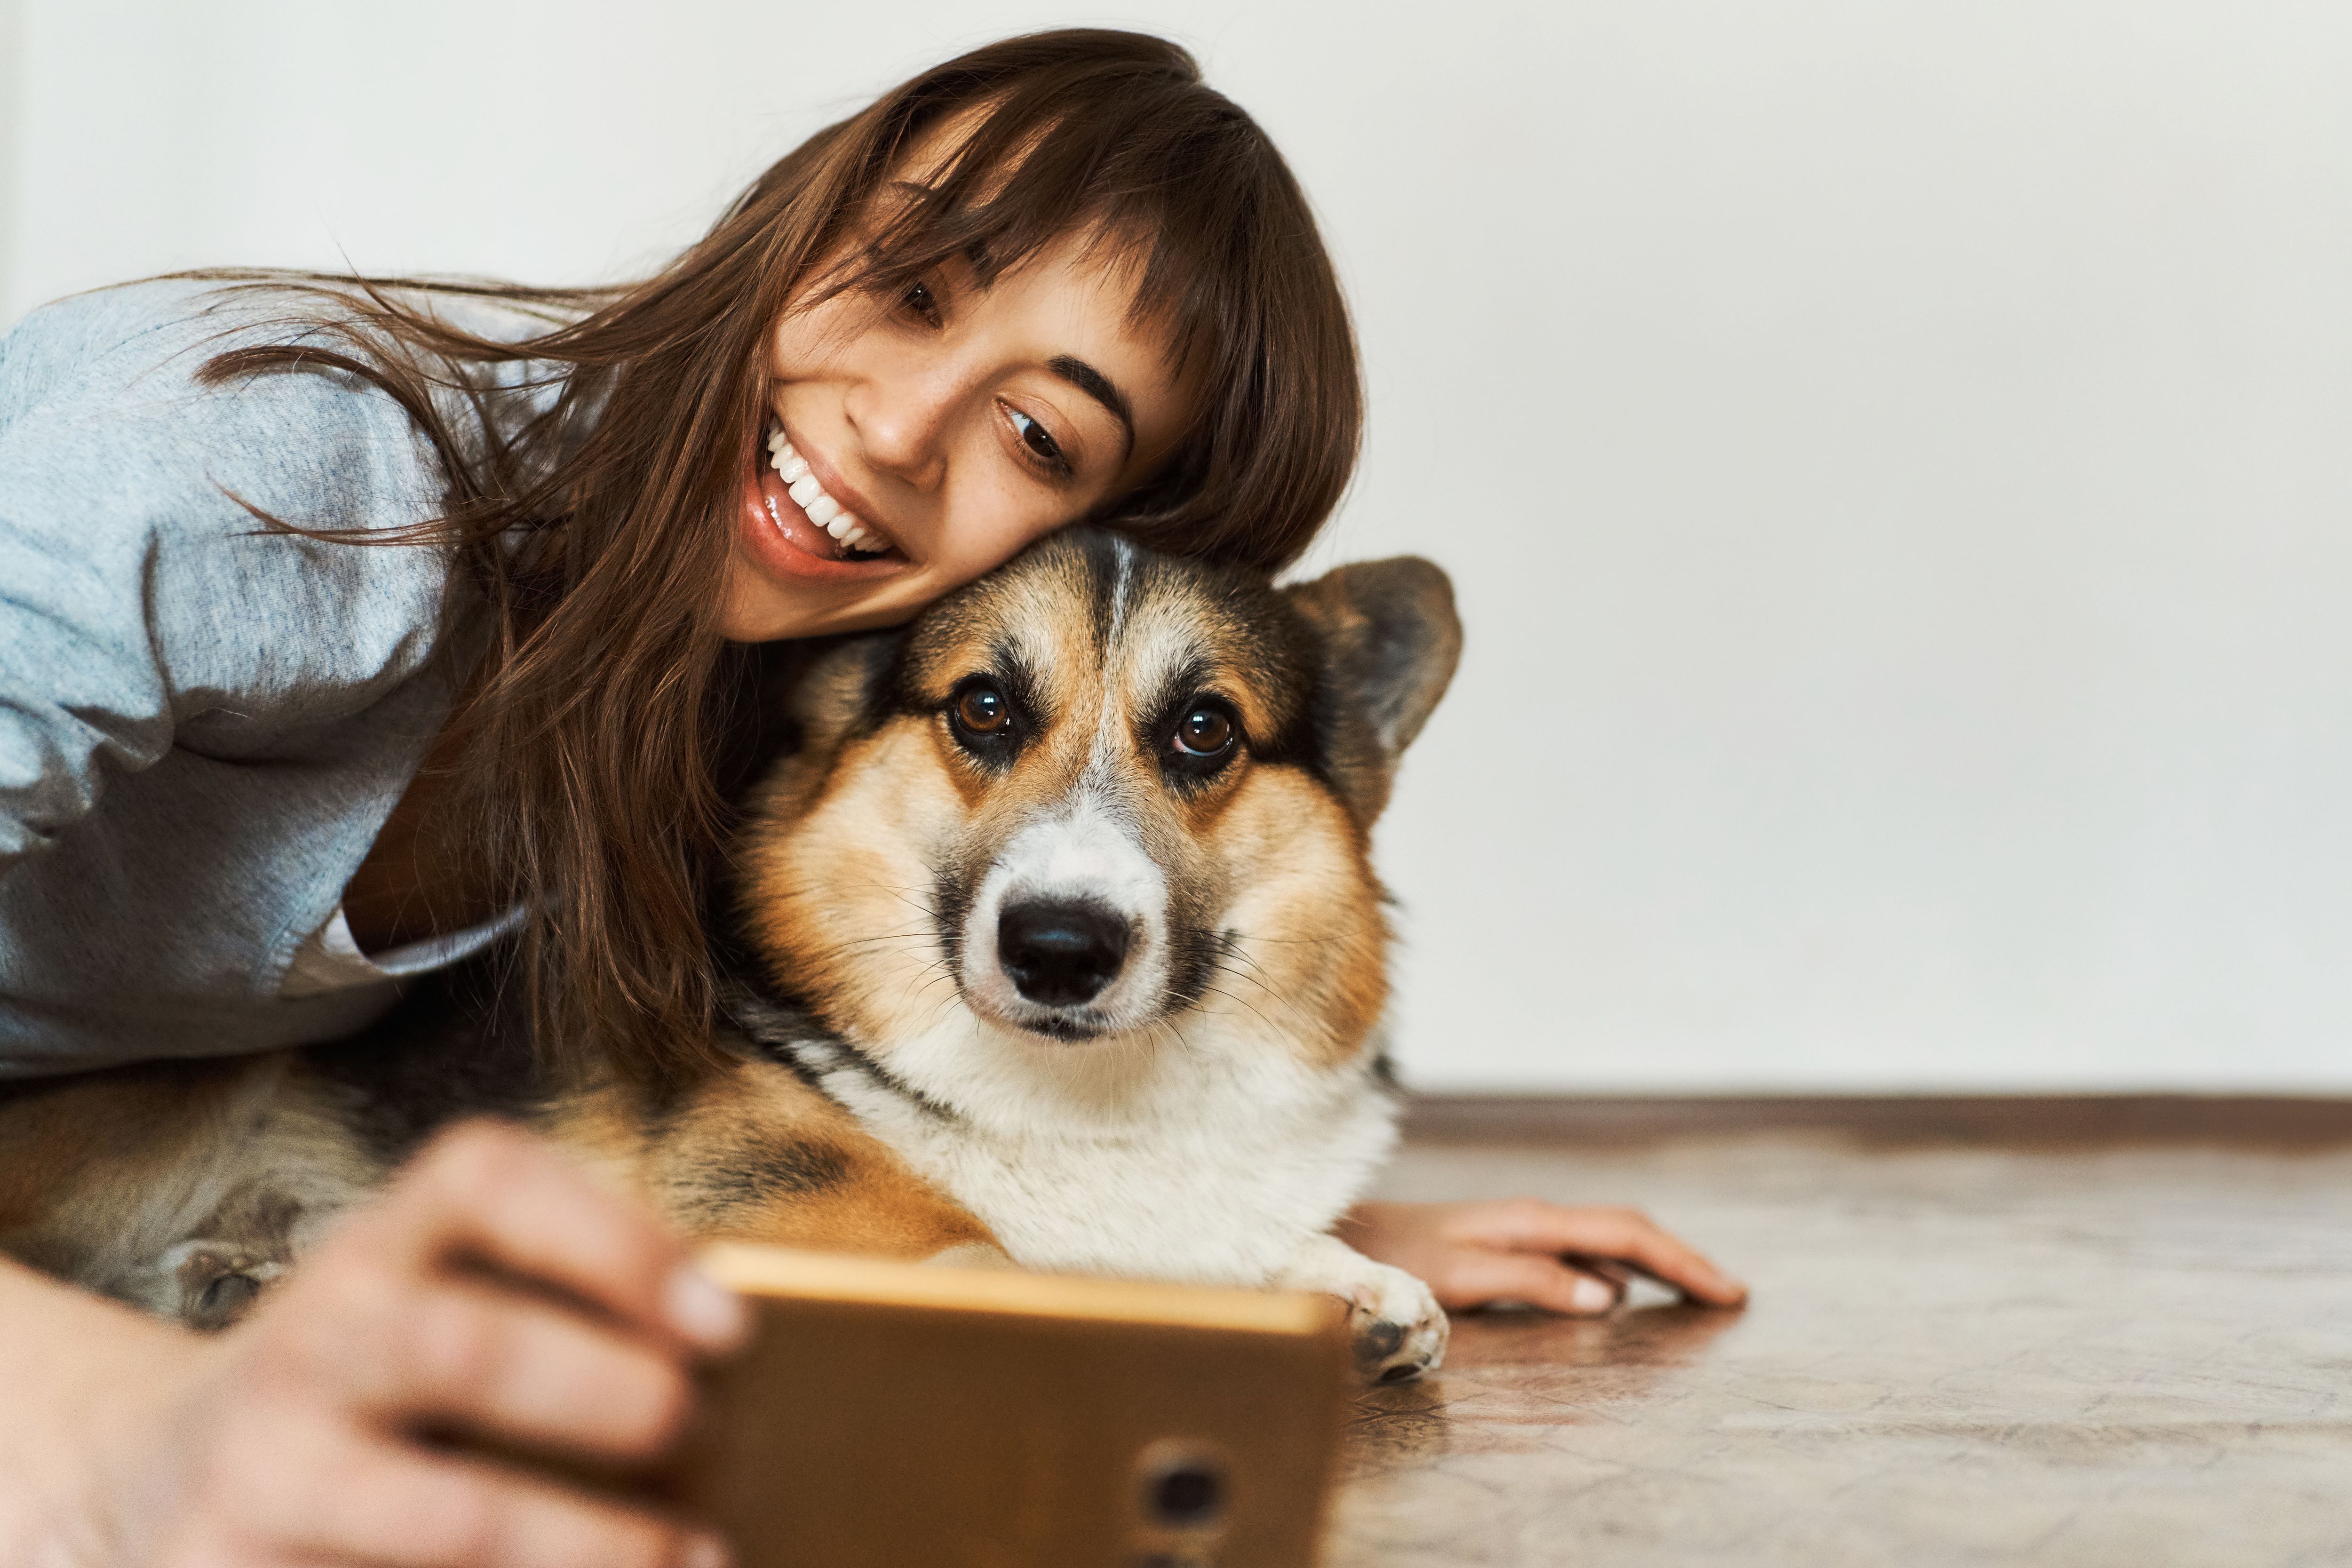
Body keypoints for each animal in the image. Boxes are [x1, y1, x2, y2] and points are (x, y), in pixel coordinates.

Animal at [0, 533, 1458, 1382]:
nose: (1060, 948)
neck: (1085, 1099)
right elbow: (995, 1254)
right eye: (984, 707)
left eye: (1206, 729)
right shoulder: (779, 1208)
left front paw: (1351, 1286)